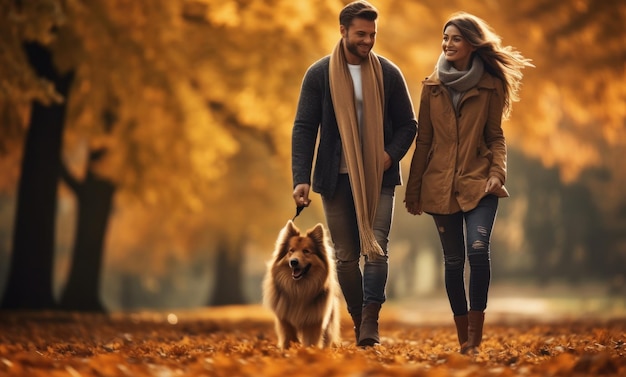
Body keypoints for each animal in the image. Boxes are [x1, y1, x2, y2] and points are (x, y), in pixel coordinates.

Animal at [260, 219, 338, 348]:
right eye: (291, 251)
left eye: (306, 251)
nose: (293, 262)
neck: (298, 289)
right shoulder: (285, 321)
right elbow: (289, 339)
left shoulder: (313, 322)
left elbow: (311, 342)